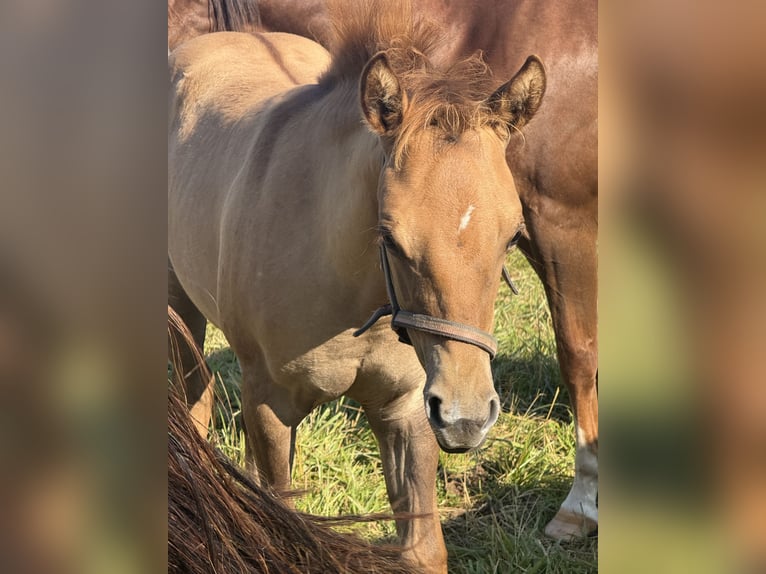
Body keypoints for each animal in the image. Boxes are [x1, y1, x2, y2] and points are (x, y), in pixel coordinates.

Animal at [167, 0, 598, 543]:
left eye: (510, 237)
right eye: (390, 237)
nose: (466, 418)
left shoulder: (408, 405)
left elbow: (423, 546)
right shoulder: (268, 405)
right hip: (179, 305)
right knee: (196, 394)